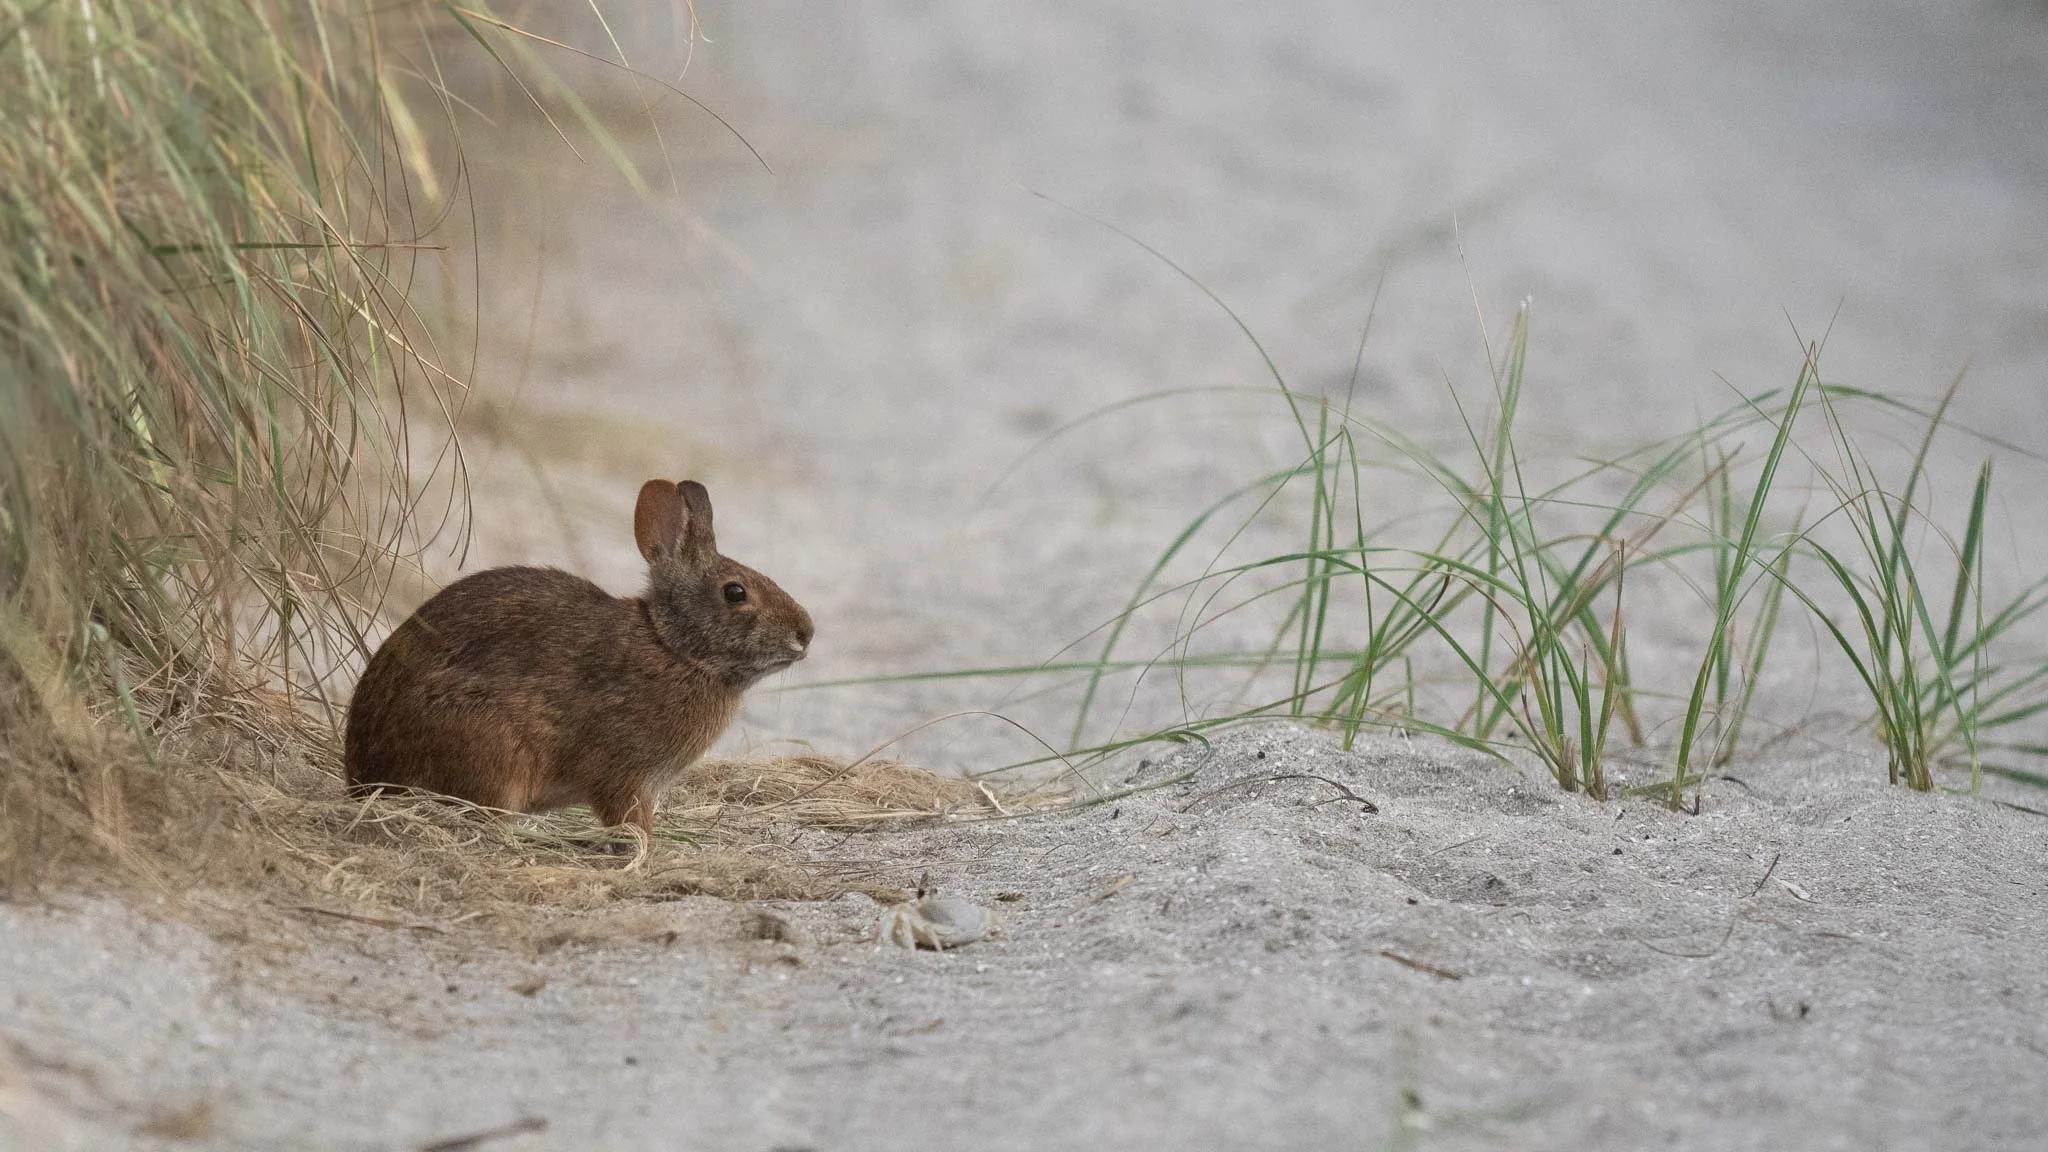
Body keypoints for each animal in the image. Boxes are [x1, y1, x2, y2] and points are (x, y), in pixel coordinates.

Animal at [343, 479, 813, 832]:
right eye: (735, 592)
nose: (806, 633)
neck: (673, 647)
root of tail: (362, 776)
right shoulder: (623, 773)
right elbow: (628, 816)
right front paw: (647, 849)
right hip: (490, 746)